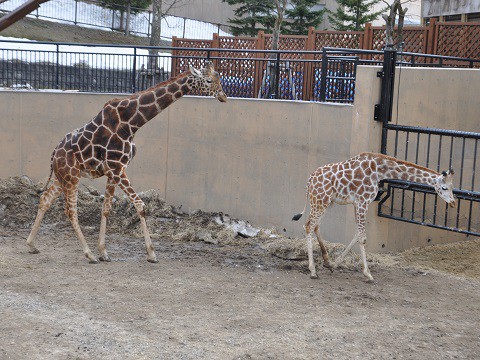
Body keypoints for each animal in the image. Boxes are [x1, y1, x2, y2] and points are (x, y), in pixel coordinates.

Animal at [27, 61, 228, 264]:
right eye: (209, 80)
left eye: (219, 77)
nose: (223, 96)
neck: (131, 123)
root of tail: (54, 153)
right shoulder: (117, 168)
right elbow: (140, 205)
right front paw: (151, 254)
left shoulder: (112, 172)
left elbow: (106, 209)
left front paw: (103, 251)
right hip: (71, 177)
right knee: (70, 211)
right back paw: (88, 254)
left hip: (62, 177)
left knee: (45, 200)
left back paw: (31, 245)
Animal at [290, 152, 456, 282]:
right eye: (444, 188)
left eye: (452, 187)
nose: (453, 203)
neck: (380, 171)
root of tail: (309, 181)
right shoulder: (362, 201)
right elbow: (362, 237)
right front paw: (368, 274)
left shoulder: (359, 203)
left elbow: (357, 234)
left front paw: (336, 264)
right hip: (320, 201)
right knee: (308, 225)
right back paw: (313, 271)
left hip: (326, 202)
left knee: (315, 225)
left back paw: (327, 261)